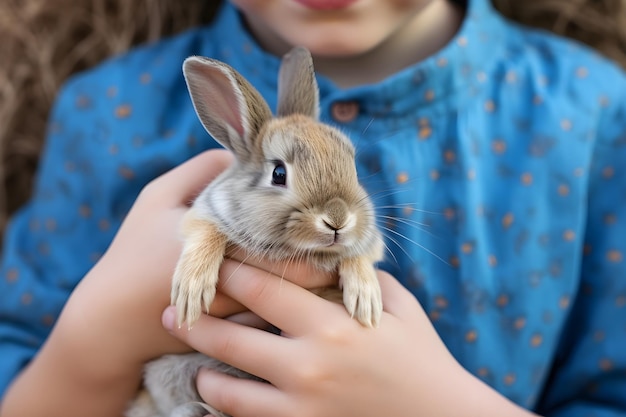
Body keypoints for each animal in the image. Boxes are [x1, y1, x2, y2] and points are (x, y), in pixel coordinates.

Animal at [124, 47, 382, 416]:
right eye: (278, 174)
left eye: (353, 166)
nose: (338, 219)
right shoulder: (205, 212)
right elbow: (206, 233)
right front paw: (191, 290)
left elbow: (359, 256)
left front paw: (366, 301)